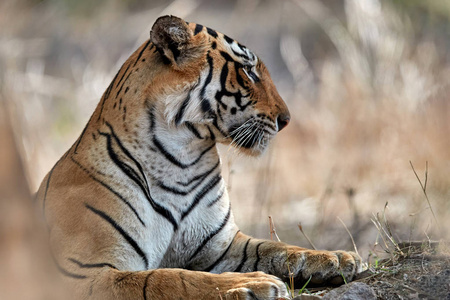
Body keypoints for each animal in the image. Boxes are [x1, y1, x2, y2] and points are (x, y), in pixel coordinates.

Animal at [37, 17, 364, 300]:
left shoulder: (221, 246)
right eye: (248, 72)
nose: (286, 119)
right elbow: (169, 278)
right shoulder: (84, 274)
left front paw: (337, 257)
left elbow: (276, 248)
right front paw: (252, 284)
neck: (181, 161)